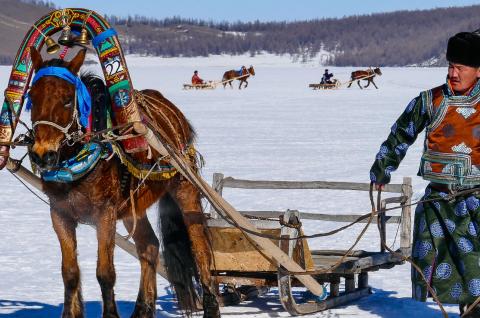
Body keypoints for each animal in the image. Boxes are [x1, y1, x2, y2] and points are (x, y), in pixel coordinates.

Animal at [28, 47, 219, 318]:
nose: (42, 154)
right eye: (32, 97)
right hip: (132, 207)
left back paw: (211, 305)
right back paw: (142, 310)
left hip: (185, 187)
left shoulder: (104, 214)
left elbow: (105, 273)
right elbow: (70, 273)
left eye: (67, 99)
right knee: (150, 246)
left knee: (199, 247)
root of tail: (169, 107)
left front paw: (110, 314)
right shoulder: (59, 214)